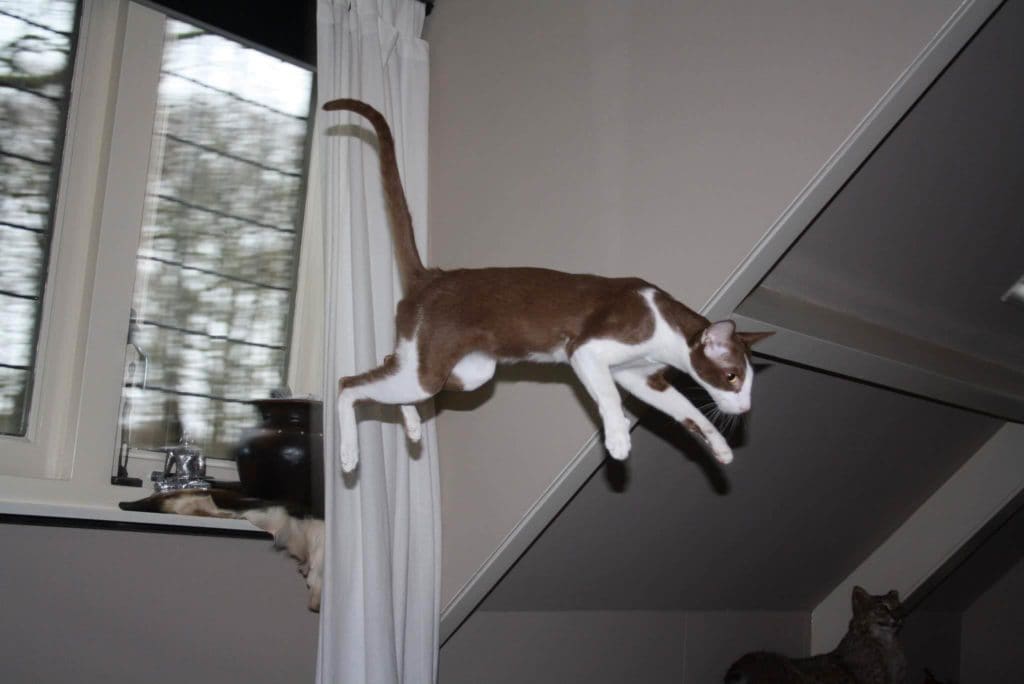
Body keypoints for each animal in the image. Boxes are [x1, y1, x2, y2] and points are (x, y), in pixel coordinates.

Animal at [323, 98, 772, 473]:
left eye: (749, 381)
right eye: (732, 376)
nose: (746, 407)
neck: (662, 325)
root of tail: (432, 275)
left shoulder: (639, 376)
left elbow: (687, 411)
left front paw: (720, 448)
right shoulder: (588, 350)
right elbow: (609, 396)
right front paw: (618, 441)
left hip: (469, 371)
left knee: (390, 363)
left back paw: (412, 424)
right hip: (433, 366)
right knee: (348, 384)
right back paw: (348, 454)